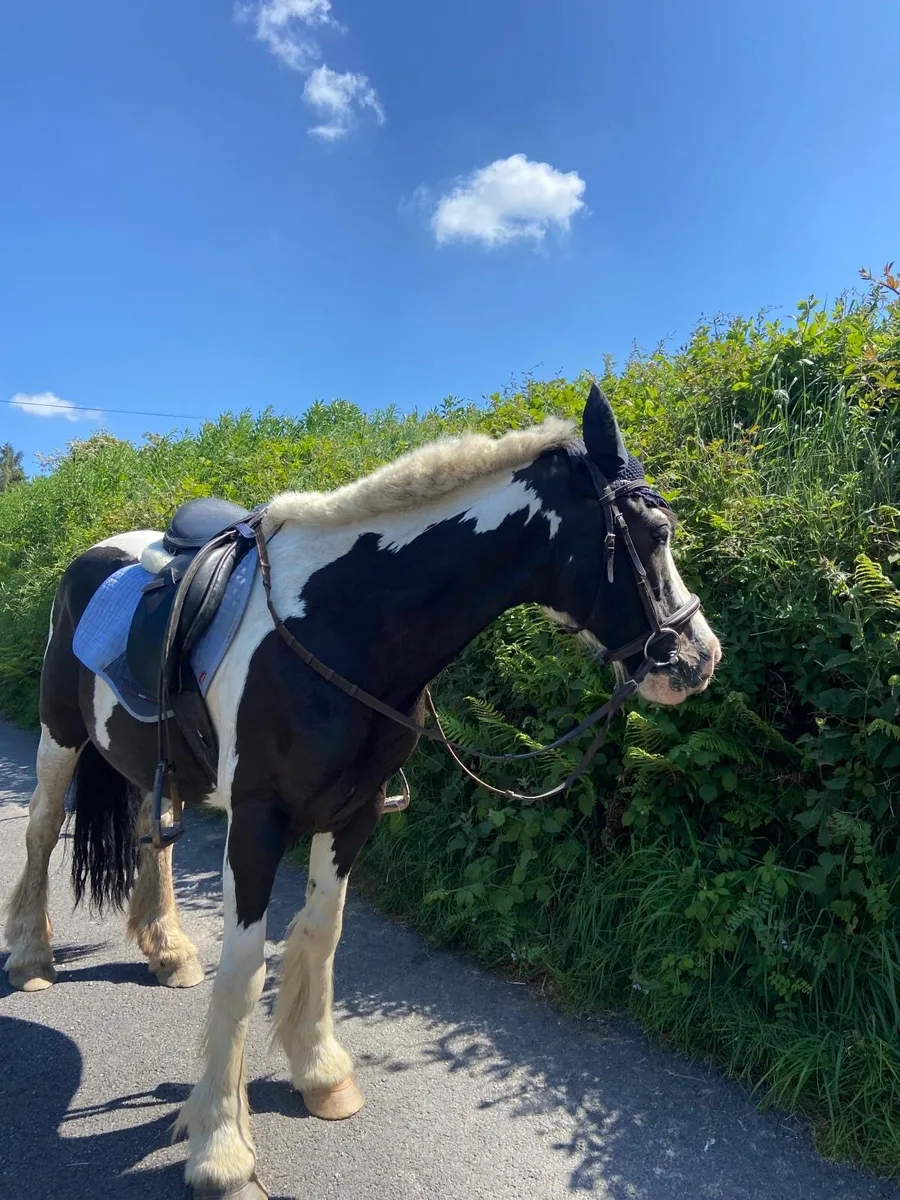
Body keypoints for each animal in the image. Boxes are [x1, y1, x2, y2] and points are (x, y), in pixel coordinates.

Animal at [4, 385, 721, 1198]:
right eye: (654, 531)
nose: (697, 658)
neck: (343, 626)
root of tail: (94, 554)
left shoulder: (354, 814)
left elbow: (322, 935)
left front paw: (321, 1075)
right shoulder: (258, 822)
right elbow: (245, 971)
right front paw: (221, 1146)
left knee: (147, 838)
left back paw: (168, 951)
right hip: (59, 734)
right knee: (40, 831)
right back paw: (31, 959)